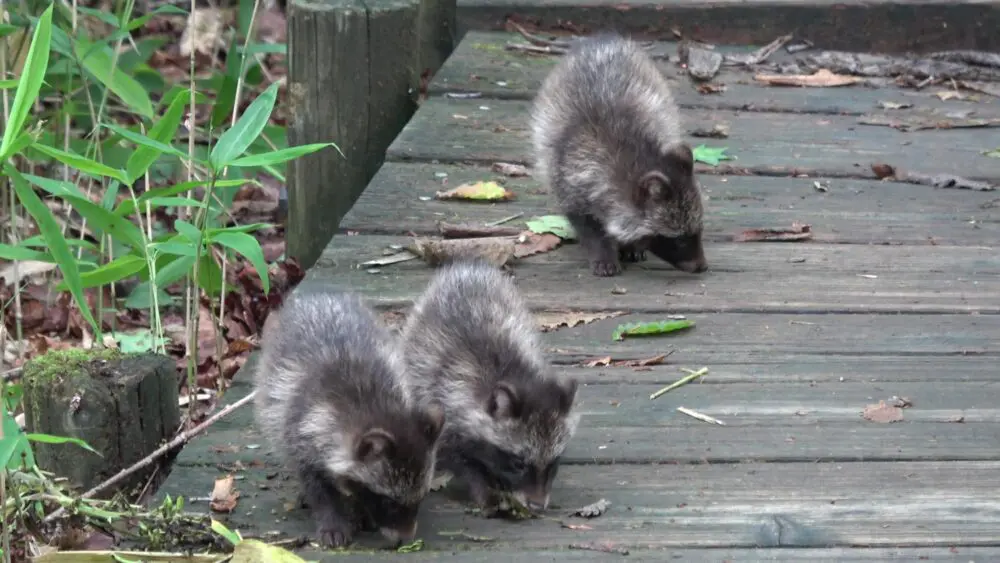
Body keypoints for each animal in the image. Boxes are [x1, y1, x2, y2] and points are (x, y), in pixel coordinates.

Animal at [254, 286, 446, 548]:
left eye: (421, 497)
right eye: (388, 501)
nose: (405, 541)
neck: (372, 407)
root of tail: (318, 295)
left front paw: (361, 511)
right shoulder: (299, 429)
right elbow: (316, 484)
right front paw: (333, 517)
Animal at [400, 262, 584, 512]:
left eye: (553, 463)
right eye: (518, 463)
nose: (538, 506)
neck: (514, 375)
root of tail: (469, 267)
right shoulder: (442, 400)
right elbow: (460, 460)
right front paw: (483, 488)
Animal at [532, 31, 712, 278]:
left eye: (699, 230)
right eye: (679, 240)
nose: (702, 266)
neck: (636, 158)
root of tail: (603, 38)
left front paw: (630, 245)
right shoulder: (568, 179)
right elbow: (587, 226)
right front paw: (603, 252)